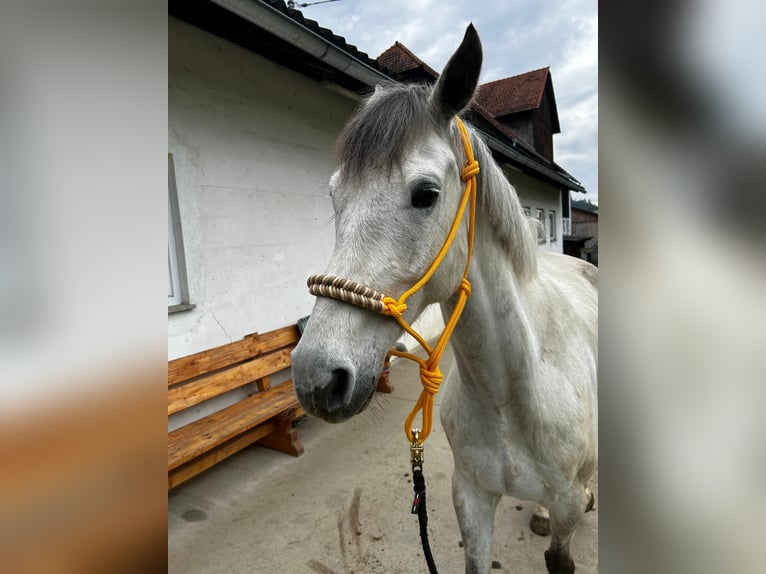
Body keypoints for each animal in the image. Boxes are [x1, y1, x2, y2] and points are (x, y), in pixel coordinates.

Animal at [291, 24, 597, 574]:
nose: (315, 378)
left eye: (426, 194)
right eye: (334, 196)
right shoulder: (470, 499)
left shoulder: (567, 509)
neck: (512, 397)